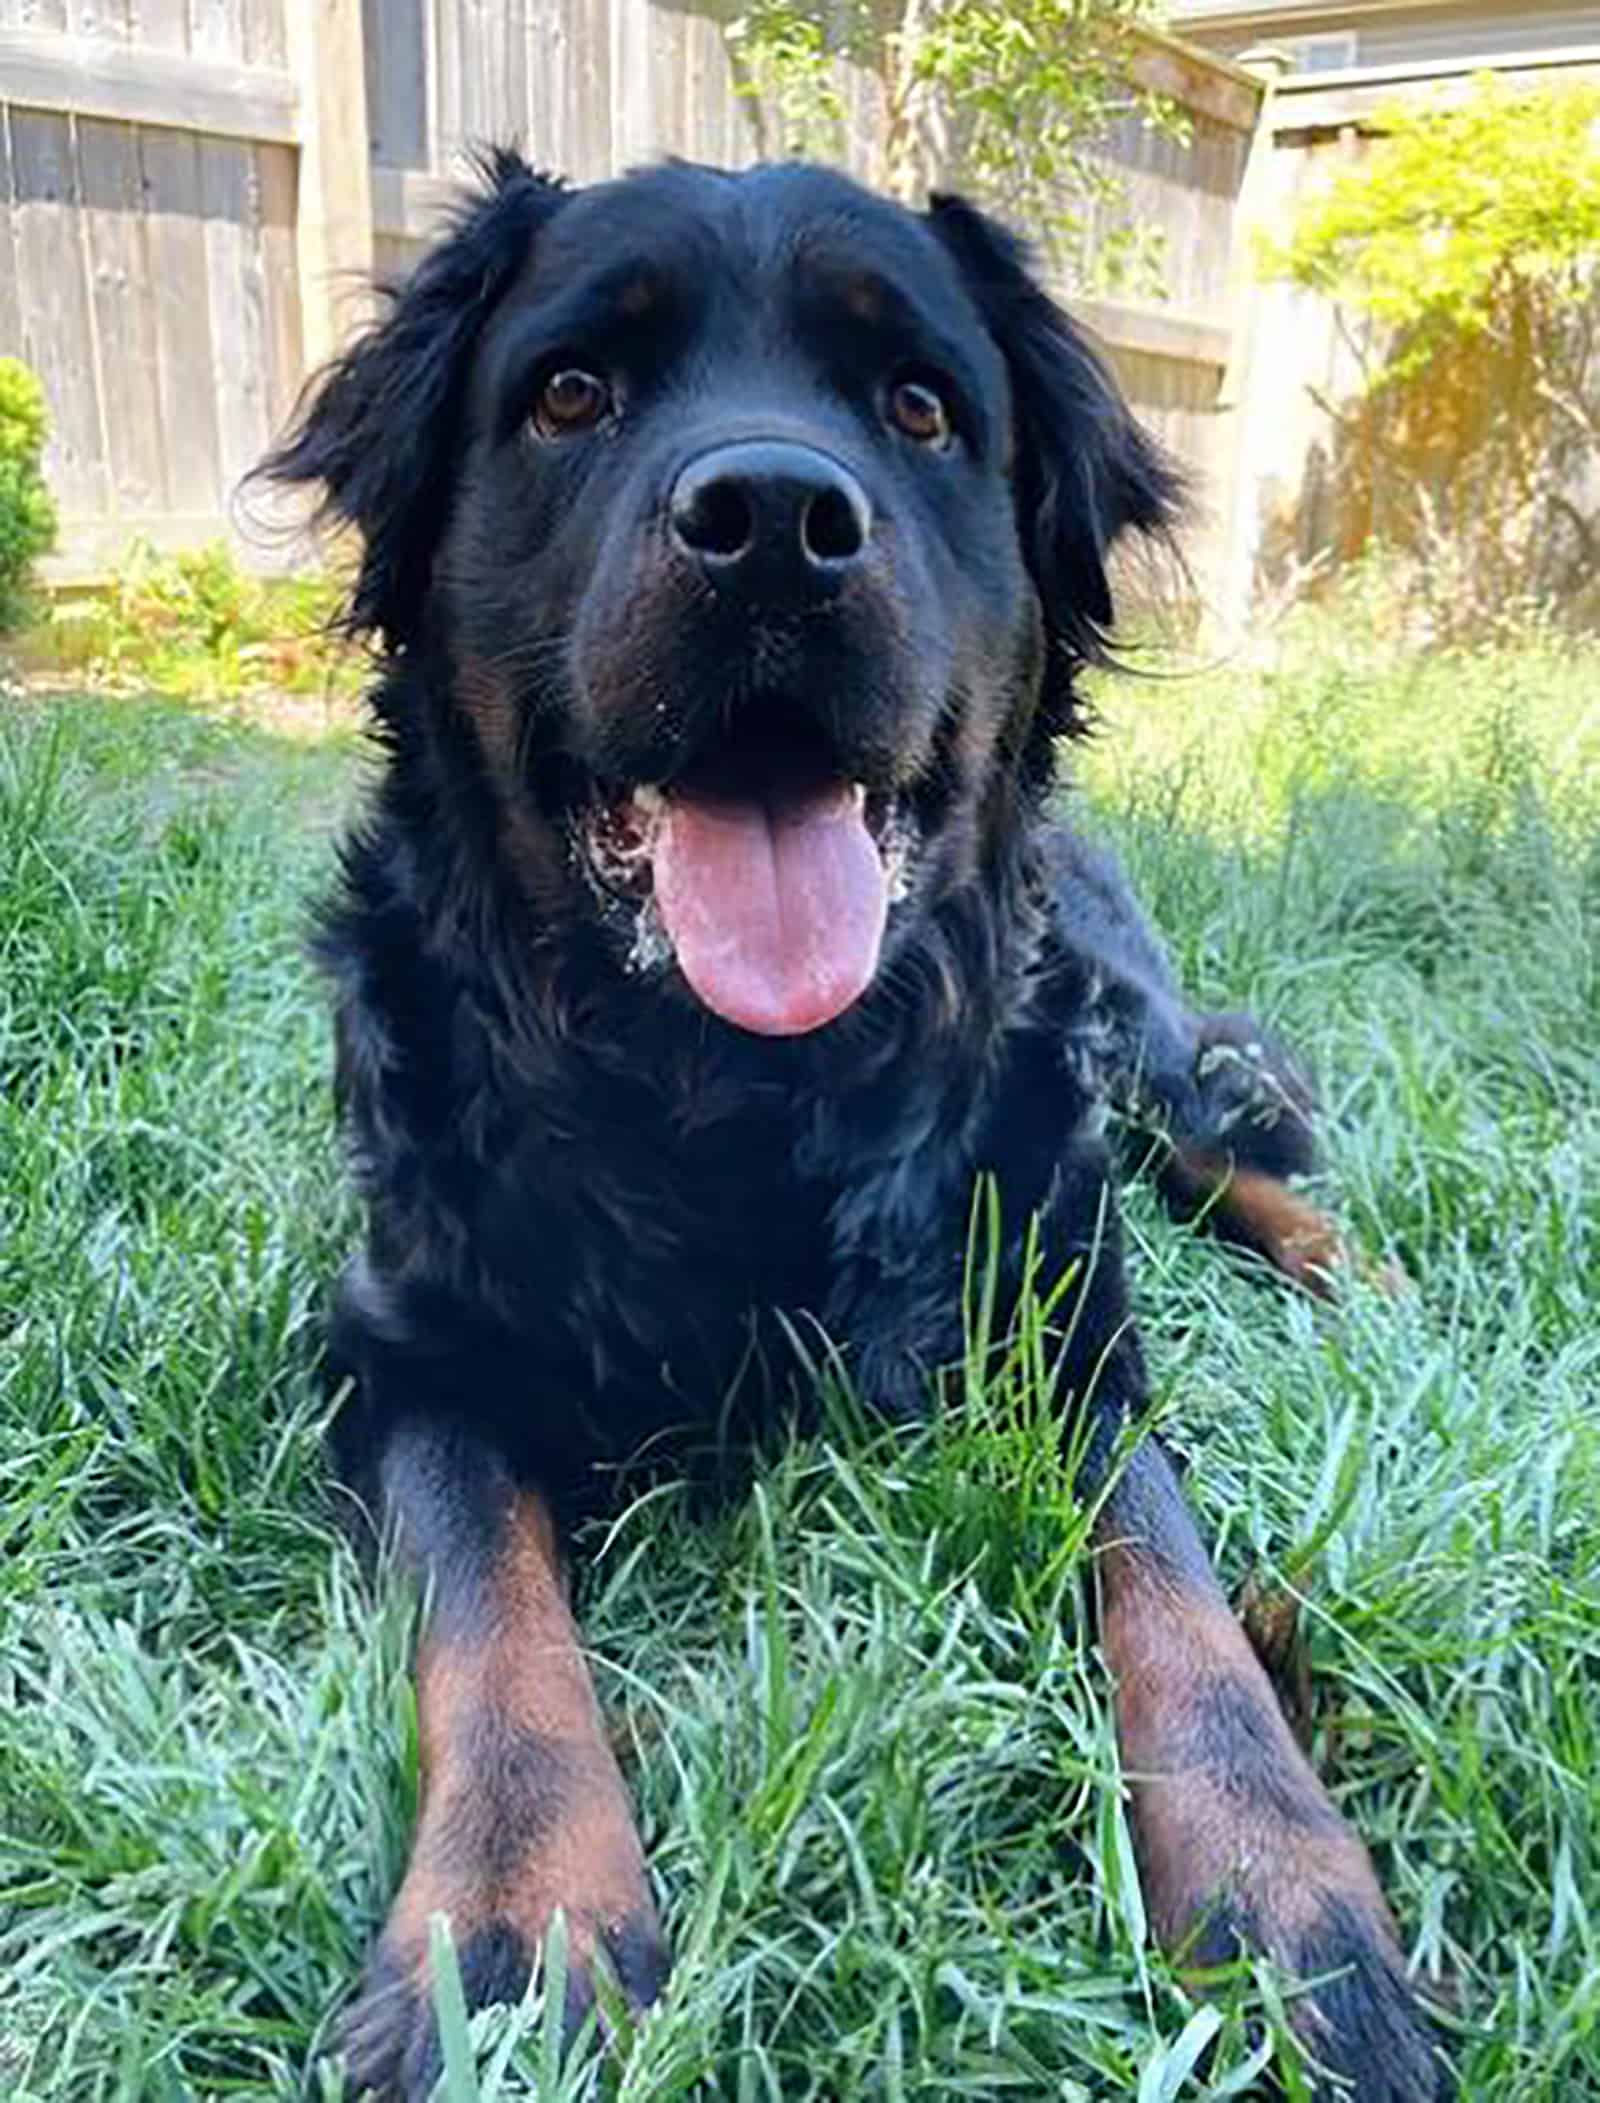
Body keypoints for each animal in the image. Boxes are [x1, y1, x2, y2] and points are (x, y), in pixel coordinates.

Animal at [261, 152, 1438, 2103]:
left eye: (920, 408)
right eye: (569, 394)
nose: (767, 523)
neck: (738, 1090)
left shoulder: (1059, 1322)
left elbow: (1183, 1602)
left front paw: (1288, 1894)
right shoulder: (400, 1348)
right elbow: (492, 1616)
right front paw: (515, 1917)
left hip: (1112, 1034)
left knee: (1225, 1140)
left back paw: (1366, 1277)